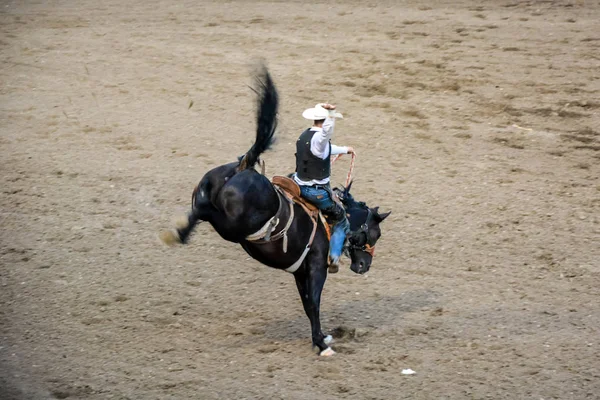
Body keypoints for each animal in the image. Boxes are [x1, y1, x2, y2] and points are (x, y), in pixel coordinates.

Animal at [162, 65, 392, 356]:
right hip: (232, 228)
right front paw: (321, 344)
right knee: (206, 213)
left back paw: (178, 232)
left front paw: (322, 337)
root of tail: (244, 167)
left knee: (199, 211)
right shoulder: (316, 268)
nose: (364, 266)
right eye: (376, 234)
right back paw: (178, 232)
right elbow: (314, 303)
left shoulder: (300, 272)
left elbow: (307, 305)